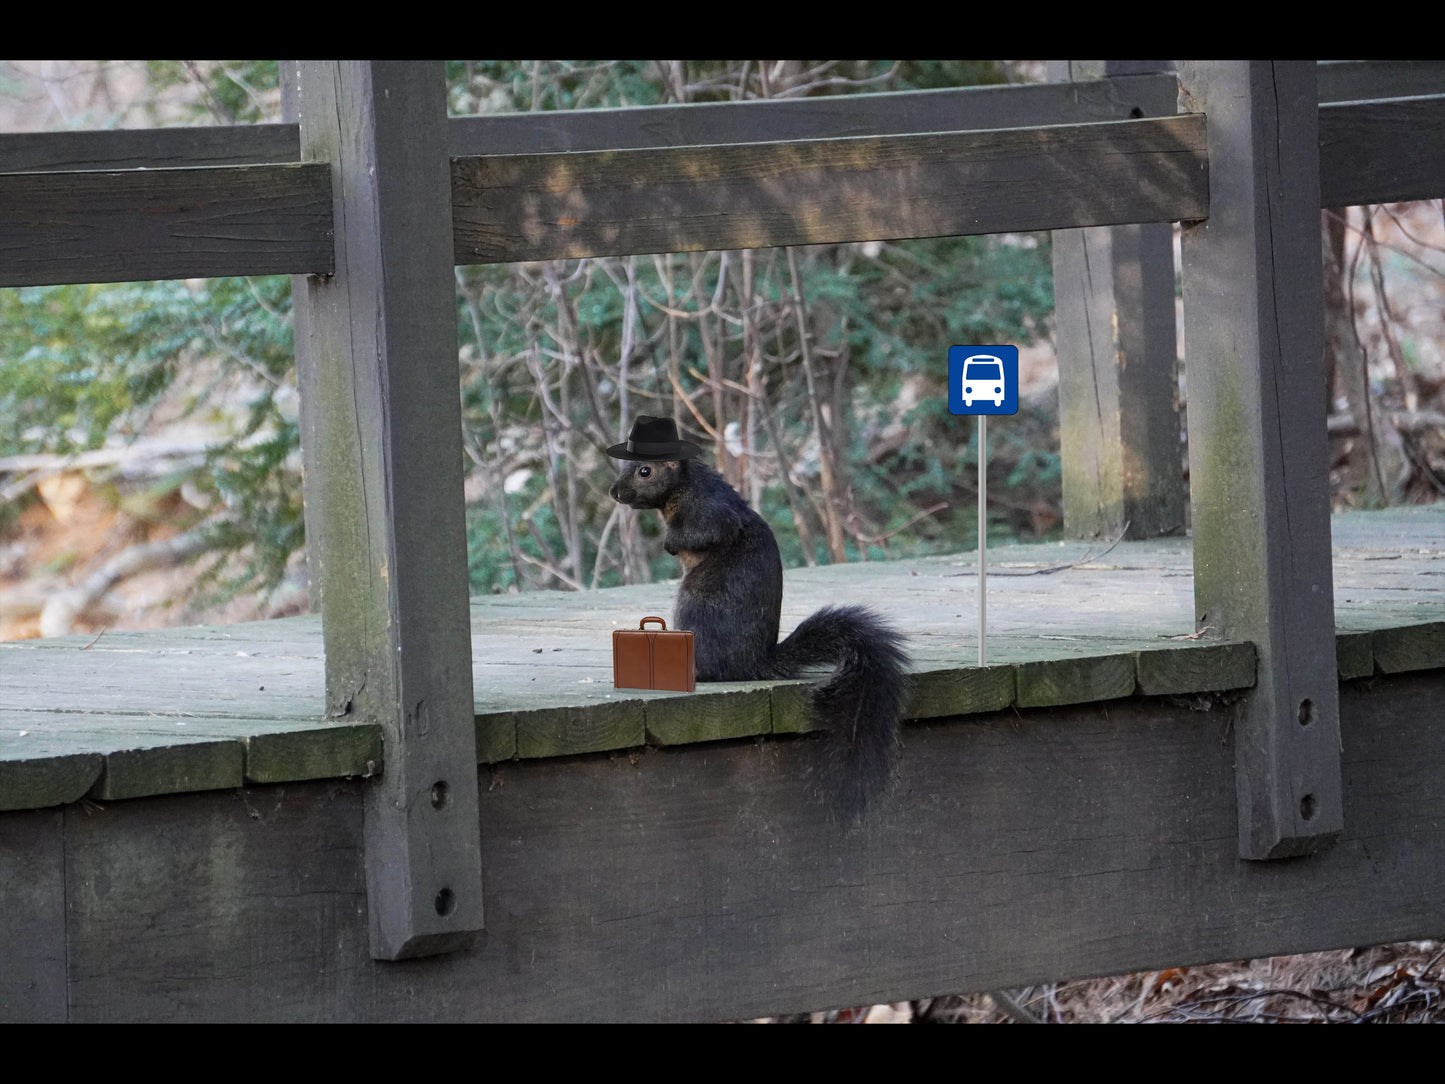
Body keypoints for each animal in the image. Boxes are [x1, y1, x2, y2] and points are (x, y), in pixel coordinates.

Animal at [608, 417, 908, 822]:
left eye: (644, 471)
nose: (615, 491)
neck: (683, 486)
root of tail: (755, 661)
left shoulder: (710, 510)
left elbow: (703, 532)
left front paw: (670, 543)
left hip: (696, 603)